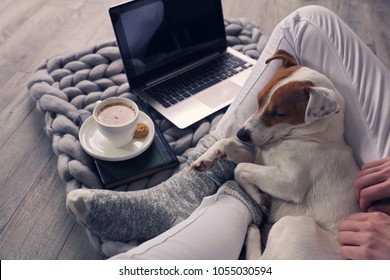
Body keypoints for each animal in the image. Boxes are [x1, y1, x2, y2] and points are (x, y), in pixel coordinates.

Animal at [191, 49, 360, 260]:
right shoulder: (259, 158)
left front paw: (258, 198)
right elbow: (227, 145)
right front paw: (205, 160)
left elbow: (240, 169)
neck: (312, 137)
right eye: (258, 99)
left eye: (280, 113)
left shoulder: (290, 182)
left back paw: (252, 233)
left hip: (291, 226)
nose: (241, 134)